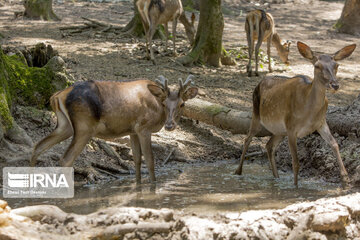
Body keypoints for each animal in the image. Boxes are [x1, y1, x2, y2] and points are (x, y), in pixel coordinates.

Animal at [30, 76, 200, 183]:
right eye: (164, 103)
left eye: (182, 104)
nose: (170, 125)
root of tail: (57, 96)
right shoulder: (144, 128)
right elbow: (150, 161)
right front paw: (153, 185)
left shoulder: (133, 130)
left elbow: (137, 160)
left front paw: (138, 186)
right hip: (84, 126)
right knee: (66, 159)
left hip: (65, 126)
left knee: (38, 146)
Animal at [235, 41, 356, 187]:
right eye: (317, 66)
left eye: (336, 65)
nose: (335, 85)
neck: (309, 113)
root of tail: (259, 83)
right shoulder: (291, 126)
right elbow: (296, 163)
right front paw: (295, 187)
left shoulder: (321, 123)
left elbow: (335, 144)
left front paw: (346, 180)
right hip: (256, 115)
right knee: (247, 139)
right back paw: (238, 172)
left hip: (280, 130)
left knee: (269, 145)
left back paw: (276, 177)